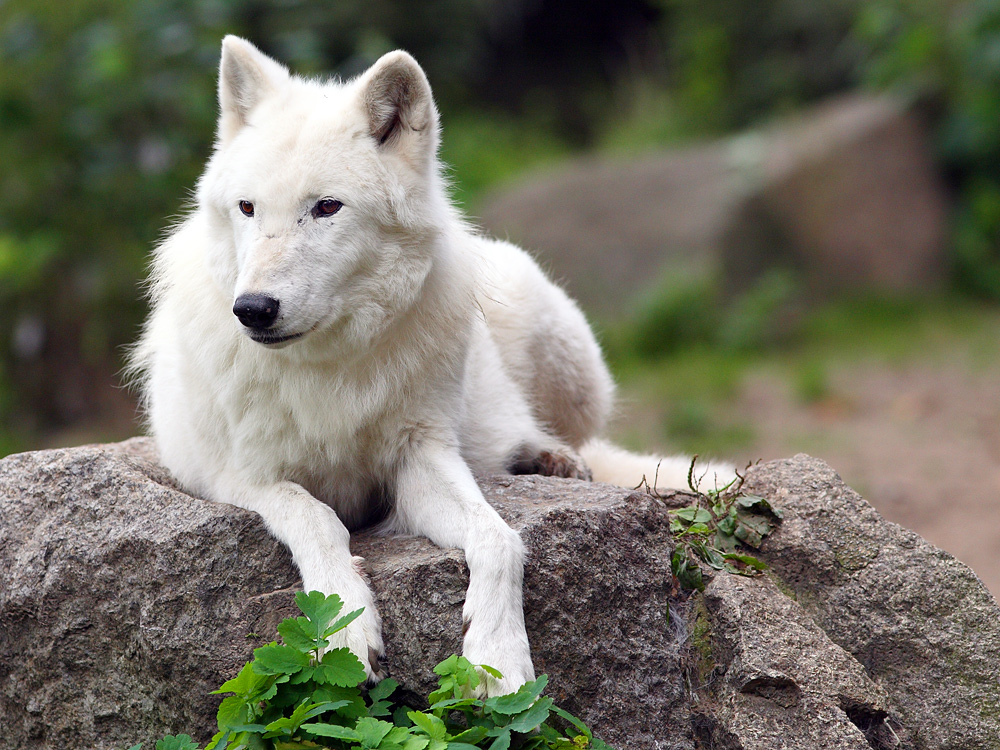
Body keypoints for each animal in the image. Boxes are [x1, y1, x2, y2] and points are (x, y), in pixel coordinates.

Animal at [133, 36, 728, 700]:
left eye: (327, 207)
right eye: (247, 208)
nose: (253, 309)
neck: (327, 368)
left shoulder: (420, 458)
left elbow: (499, 538)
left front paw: (498, 657)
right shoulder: (238, 477)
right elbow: (317, 519)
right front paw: (345, 628)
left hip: (560, 343)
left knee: (576, 443)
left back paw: (550, 458)